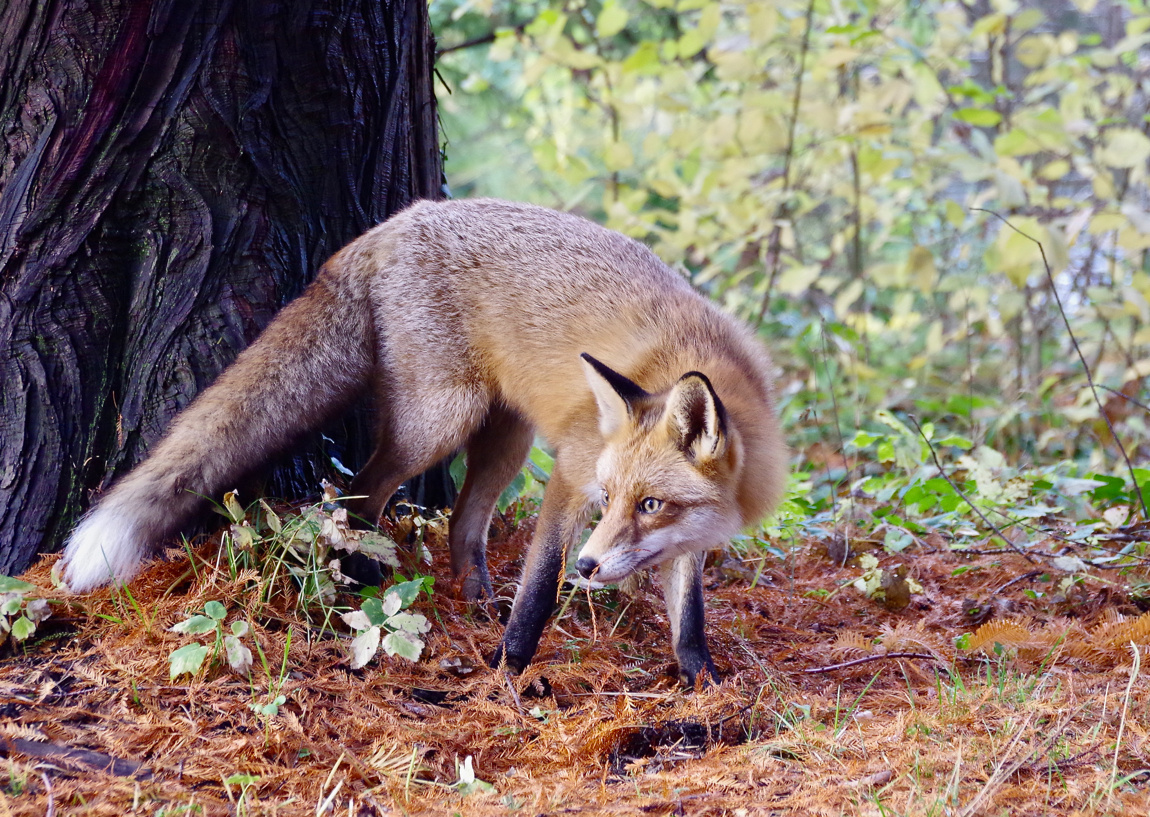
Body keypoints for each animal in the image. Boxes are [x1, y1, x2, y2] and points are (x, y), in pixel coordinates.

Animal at [58, 200, 786, 690]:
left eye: (652, 505)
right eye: (607, 499)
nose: (589, 566)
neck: (696, 357)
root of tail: (397, 220)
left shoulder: (681, 535)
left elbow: (688, 615)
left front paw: (704, 681)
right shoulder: (572, 470)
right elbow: (539, 590)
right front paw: (507, 671)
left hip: (507, 437)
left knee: (464, 524)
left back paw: (475, 598)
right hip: (440, 420)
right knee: (360, 494)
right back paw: (359, 582)